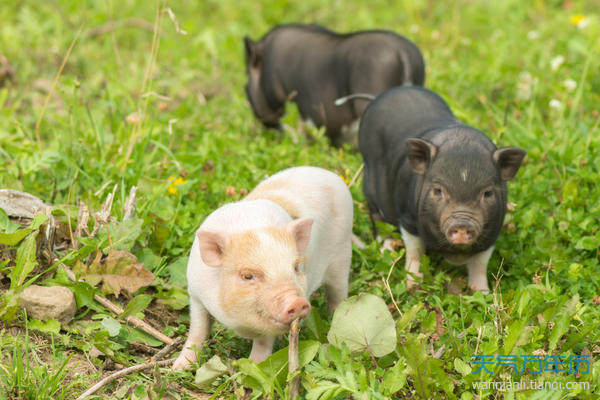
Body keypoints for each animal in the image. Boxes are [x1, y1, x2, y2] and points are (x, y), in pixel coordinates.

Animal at [360, 87, 524, 292]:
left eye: (487, 193)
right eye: (438, 190)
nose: (462, 224)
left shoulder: (494, 230)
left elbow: (480, 264)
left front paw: (483, 292)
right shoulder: (408, 218)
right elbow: (415, 252)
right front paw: (412, 286)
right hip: (370, 190)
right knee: (378, 221)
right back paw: (386, 250)